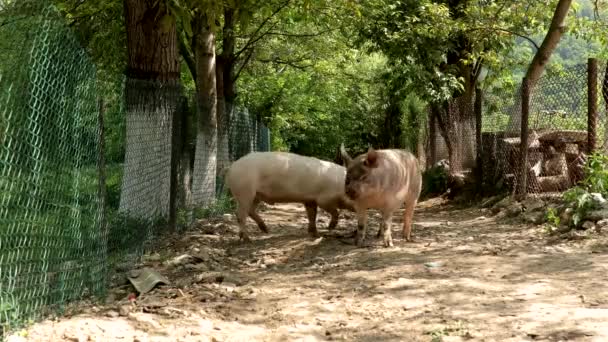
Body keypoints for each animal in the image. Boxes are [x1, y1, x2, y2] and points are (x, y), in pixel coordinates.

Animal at [226, 151, 354, 242]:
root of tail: (232, 166)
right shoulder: (324, 199)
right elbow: (334, 211)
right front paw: (330, 228)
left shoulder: (309, 200)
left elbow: (312, 215)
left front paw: (315, 234)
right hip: (244, 191)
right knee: (240, 214)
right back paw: (248, 239)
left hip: (256, 195)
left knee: (250, 211)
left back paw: (266, 230)